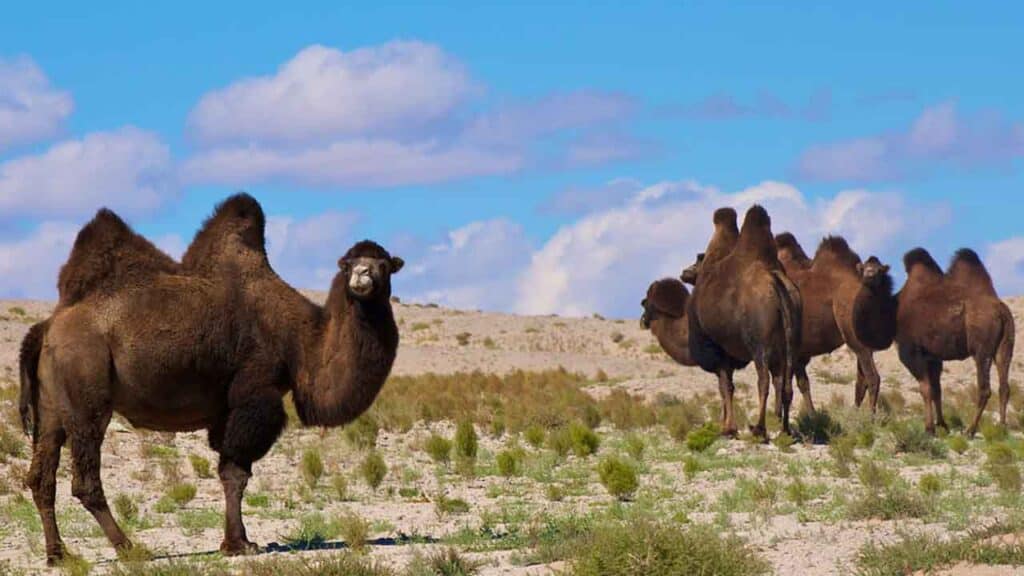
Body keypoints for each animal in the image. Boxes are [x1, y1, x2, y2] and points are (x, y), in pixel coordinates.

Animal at [19, 195, 404, 564]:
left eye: (384, 264)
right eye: (350, 262)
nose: (362, 276)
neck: (301, 341)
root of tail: (47, 327)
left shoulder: (226, 410)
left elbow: (228, 472)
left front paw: (238, 541)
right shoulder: (254, 394)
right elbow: (236, 473)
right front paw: (239, 544)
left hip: (51, 405)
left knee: (41, 477)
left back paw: (58, 555)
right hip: (87, 392)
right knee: (84, 480)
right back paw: (130, 549)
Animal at [687, 206, 801, 438]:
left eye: (697, 260)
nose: (684, 272)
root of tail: (776, 281)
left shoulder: (718, 350)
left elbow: (726, 388)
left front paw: (728, 428)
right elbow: (728, 387)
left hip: (759, 342)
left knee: (763, 380)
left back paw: (759, 428)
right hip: (791, 340)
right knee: (784, 383)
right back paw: (784, 430)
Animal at [772, 234, 897, 414]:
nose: (871, 274)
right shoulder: (798, 353)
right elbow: (802, 383)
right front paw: (812, 414)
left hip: (855, 337)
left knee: (872, 377)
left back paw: (870, 416)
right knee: (862, 380)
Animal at [896, 247, 1014, 435]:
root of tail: (1001, 311)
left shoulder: (911, 352)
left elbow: (925, 388)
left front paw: (929, 429)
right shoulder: (933, 357)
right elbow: (936, 390)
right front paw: (942, 425)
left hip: (981, 348)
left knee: (985, 389)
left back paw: (970, 430)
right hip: (1005, 345)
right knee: (1004, 386)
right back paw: (1001, 427)